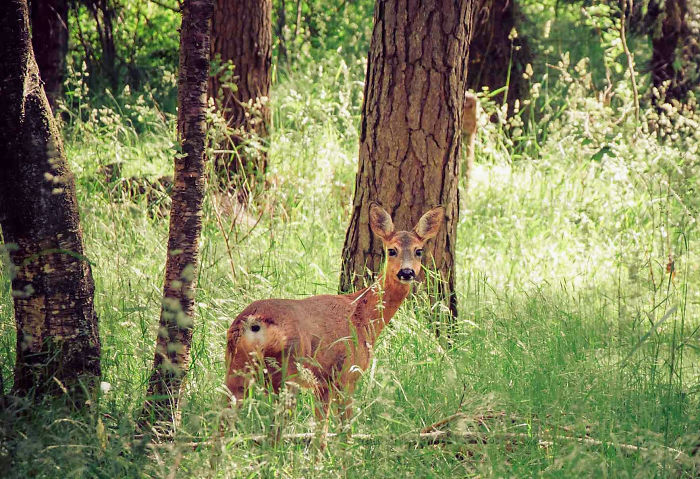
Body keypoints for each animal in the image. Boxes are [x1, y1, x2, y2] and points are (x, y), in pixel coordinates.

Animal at [225, 202, 444, 427]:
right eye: (392, 250)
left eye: (418, 251)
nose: (407, 272)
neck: (363, 317)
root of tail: (253, 322)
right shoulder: (348, 374)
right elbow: (344, 428)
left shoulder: (322, 384)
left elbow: (320, 430)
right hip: (287, 371)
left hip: (235, 367)